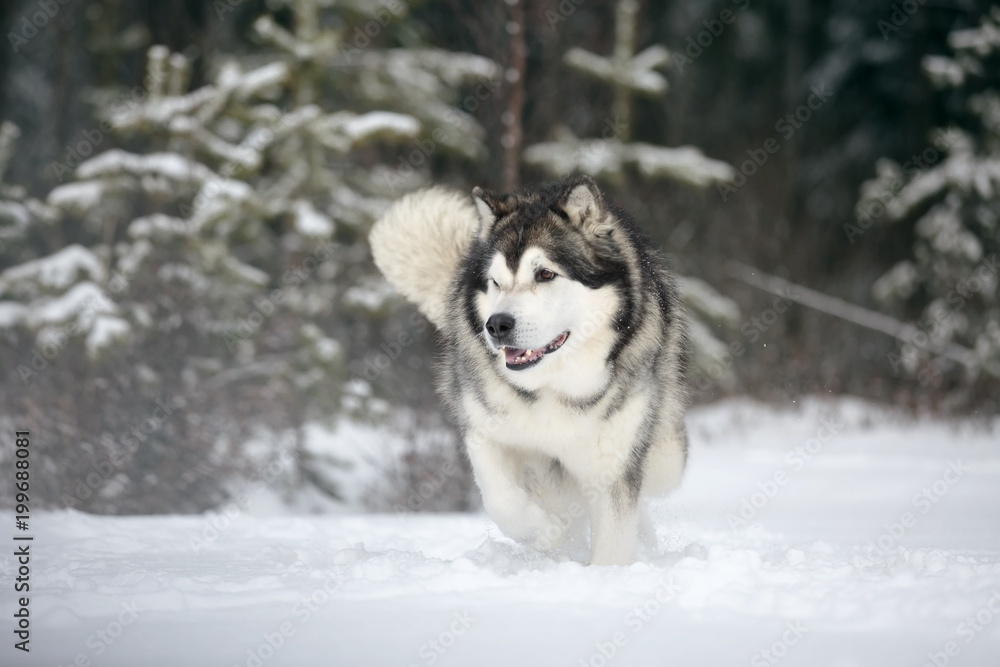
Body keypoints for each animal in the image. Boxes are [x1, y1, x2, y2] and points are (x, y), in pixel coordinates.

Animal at [372, 176, 692, 564]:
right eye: (495, 282)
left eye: (545, 274)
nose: (496, 325)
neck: (552, 386)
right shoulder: (484, 431)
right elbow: (502, 501)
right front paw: (545, 532)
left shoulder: (613, 460)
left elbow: (614, 539)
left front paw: (607, 571)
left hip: (663, 453)